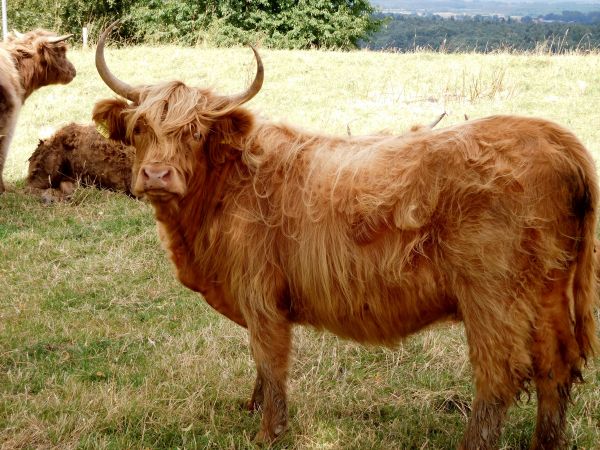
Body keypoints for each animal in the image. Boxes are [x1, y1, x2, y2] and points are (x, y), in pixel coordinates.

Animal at [91, 22, 596, 450]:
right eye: (139, 128)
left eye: (194, 132)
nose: (157, 176)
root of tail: (556, 137)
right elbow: (260, 367)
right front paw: (251, 407)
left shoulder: (261, 295)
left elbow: (270, 360)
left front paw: (268, 432)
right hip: (547, 292)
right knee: (555, 367)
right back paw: (546, 444)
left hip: (492, 297)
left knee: (500, 377)